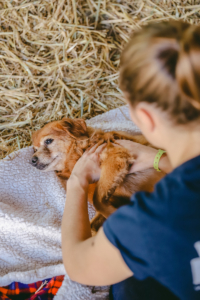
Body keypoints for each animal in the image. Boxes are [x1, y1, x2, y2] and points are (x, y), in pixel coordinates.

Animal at [30, 117, 164, 232]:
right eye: (35, 149)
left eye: (48, 141)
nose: (32, 160)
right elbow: (92, 224)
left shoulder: (116, 156)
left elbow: (97, 201)